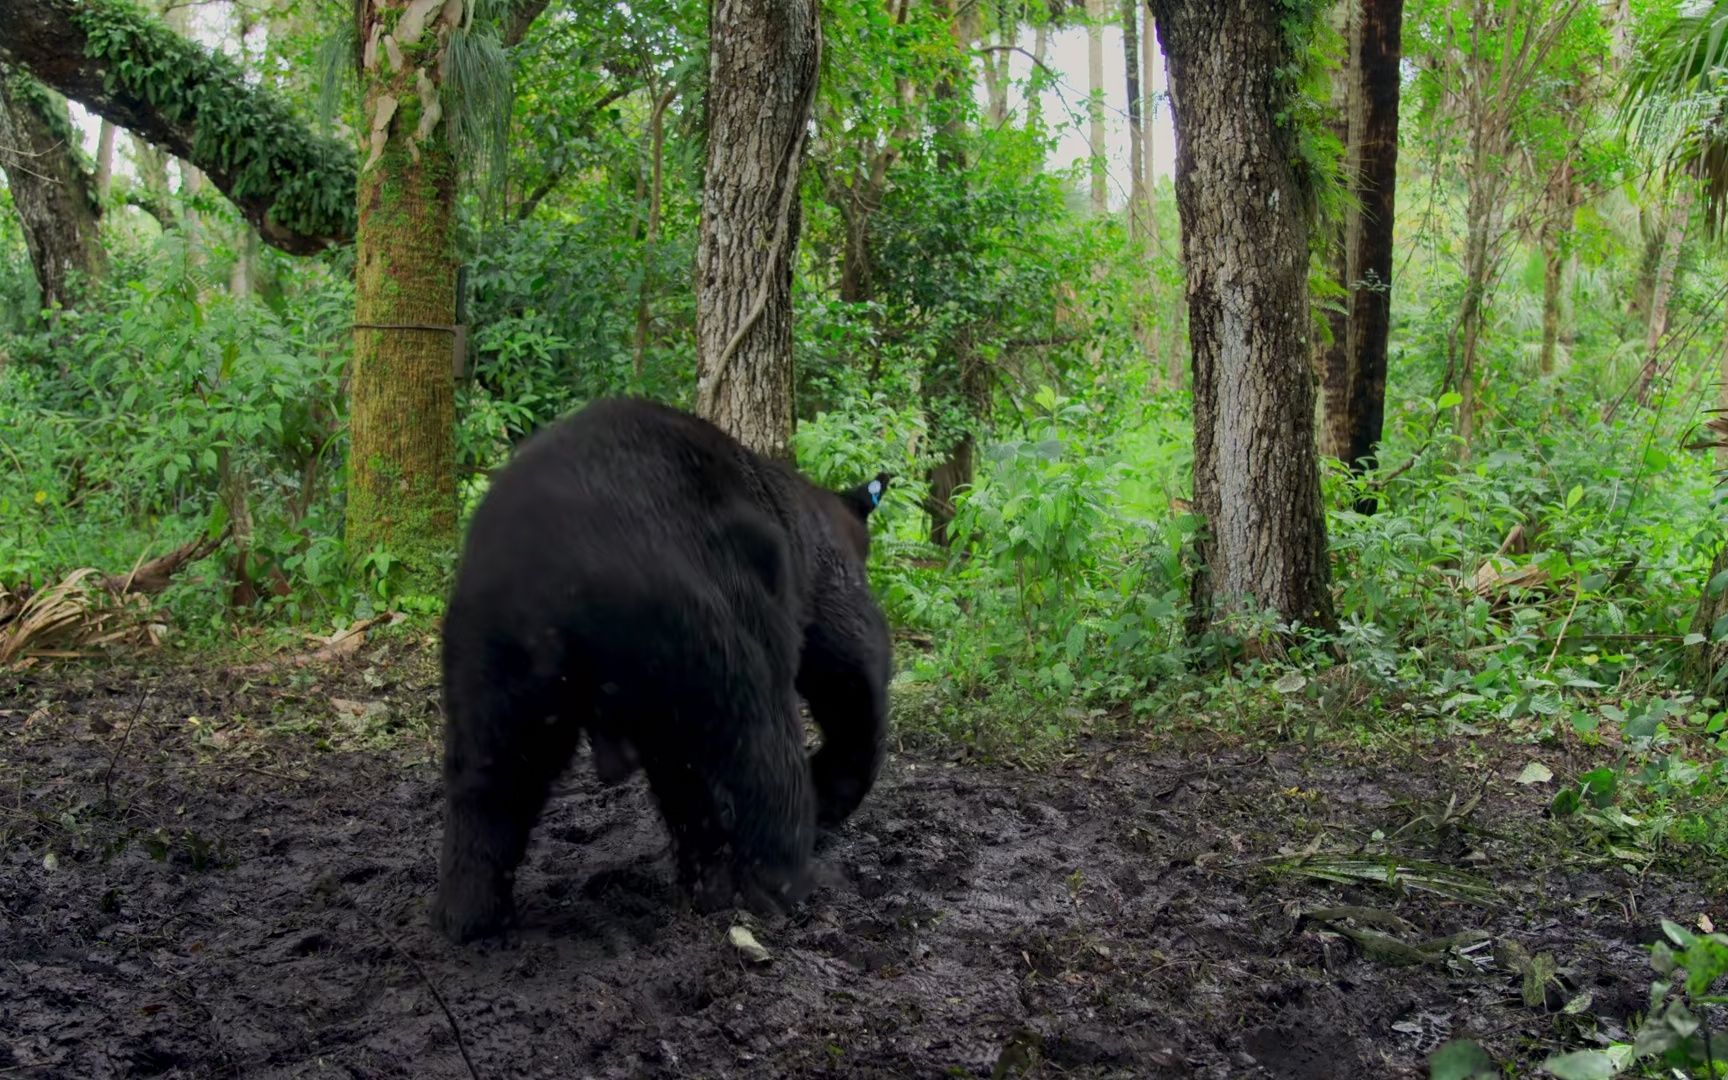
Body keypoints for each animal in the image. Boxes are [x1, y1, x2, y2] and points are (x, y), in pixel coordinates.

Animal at [430, 397, 891, 940]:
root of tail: (558, 573)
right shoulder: (817, 586)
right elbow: (855, 673)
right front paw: (830, 791)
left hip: (495, 655)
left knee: (493, 775)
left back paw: (471, 913)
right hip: (707, 616)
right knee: (760, 744)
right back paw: (786, 882)